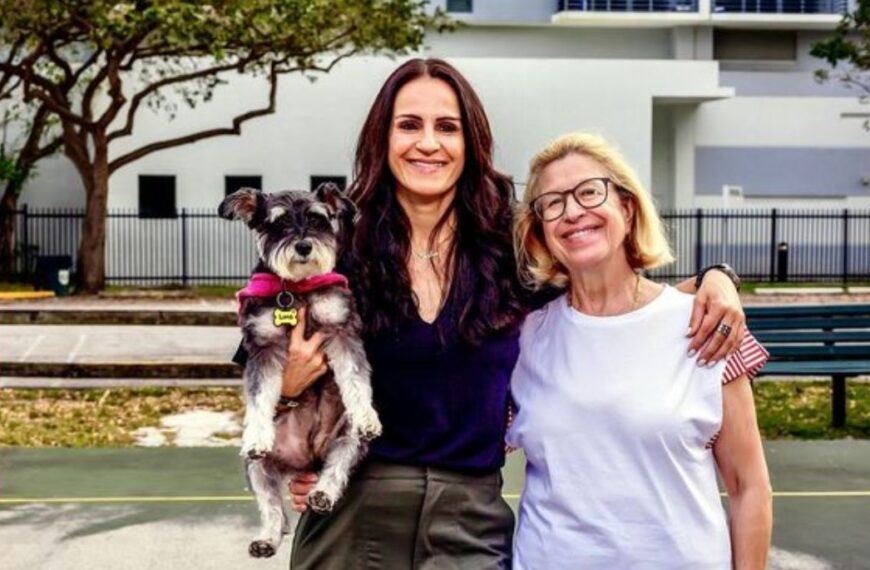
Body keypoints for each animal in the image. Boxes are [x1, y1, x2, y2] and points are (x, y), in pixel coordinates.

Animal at [220, 182, 380, 556]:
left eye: (318, 219)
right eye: (278, 223)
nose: (304, 246)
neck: (295, 289)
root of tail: (307, 461)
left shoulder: (342, 329)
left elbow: (355, 378)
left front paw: (368, 415)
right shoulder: (262, 347)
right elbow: (260, 396)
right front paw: (258, 433)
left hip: (346, 439)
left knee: (336, 468)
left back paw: (322, 494)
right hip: (256, 468)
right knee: (273, 509)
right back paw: (266, 538)